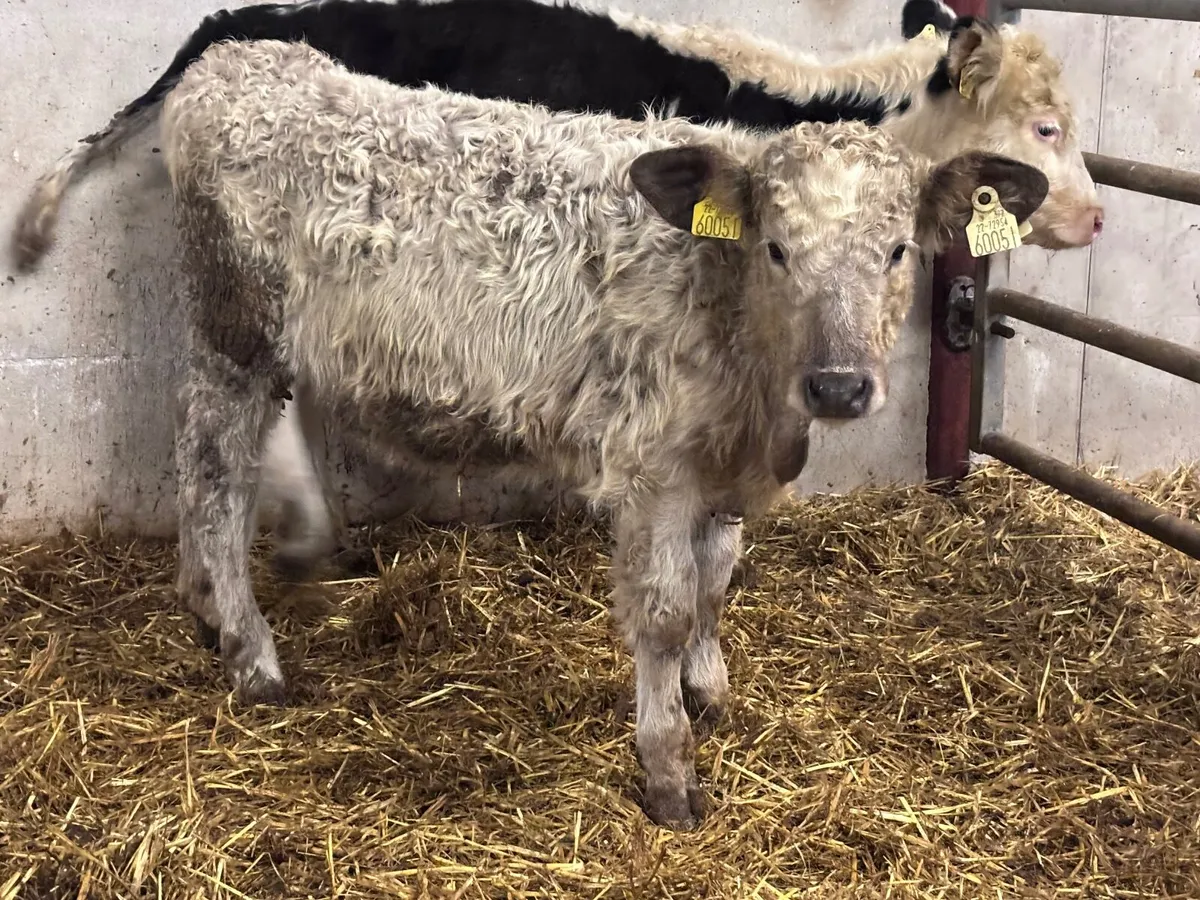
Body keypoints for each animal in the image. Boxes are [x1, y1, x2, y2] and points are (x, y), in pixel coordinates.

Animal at [147, 38, 1048, 828]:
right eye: (776, 248)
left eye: (897, 251)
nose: (838, 384)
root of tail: (240, 60)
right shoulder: (653, 465)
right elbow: (666, 611)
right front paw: (669, 770)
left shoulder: (722, 466)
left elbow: (715, 582)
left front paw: (708, 692)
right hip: (232, 332)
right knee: (212, 471)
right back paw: (248, 651)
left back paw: (221, 595)